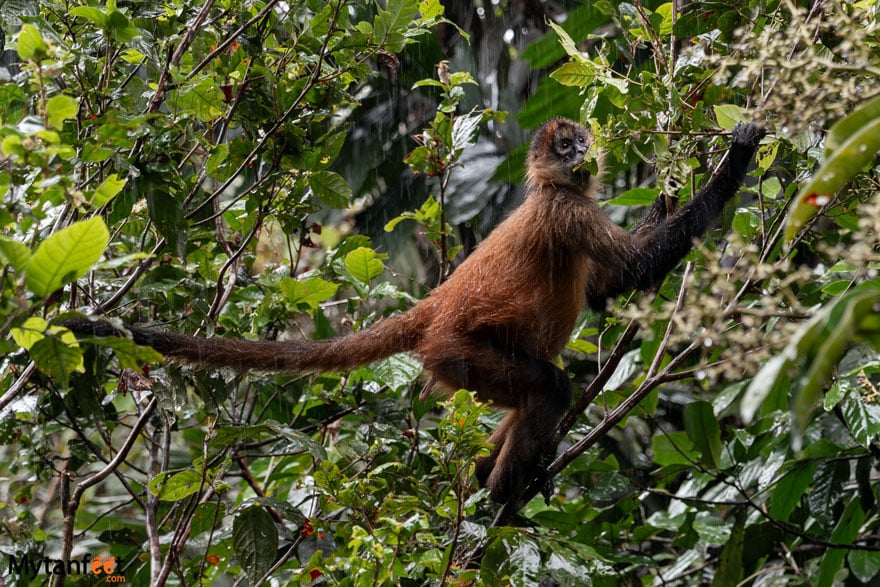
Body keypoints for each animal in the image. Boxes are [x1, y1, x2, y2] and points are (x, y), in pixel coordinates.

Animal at [62, 119, 766, 504]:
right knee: (548, 385)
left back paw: (488, 474)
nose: (582, 154)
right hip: (457, 354)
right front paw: (736, 157)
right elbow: (634, 272)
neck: (549, 188)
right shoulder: (568, 211)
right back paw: (502, 488)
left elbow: (607, 290)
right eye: (564, 147)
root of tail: (435, 308)